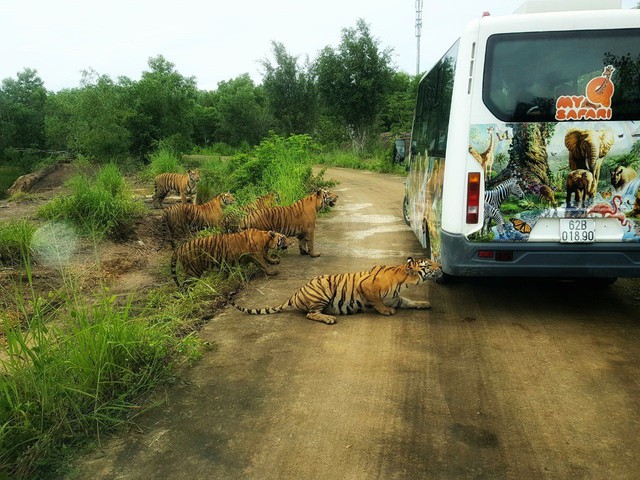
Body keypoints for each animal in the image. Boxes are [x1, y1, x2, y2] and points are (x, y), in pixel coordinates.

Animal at [228, 256, 442, 324]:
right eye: (428, 265)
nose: (440, 266)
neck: (403, 279)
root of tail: (296, 293)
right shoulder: (368, 287)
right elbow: (377, 301)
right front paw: (385, 311)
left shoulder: (397, 298)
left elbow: (410, 302)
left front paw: (424, 303)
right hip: (322, 291)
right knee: (310, 314)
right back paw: (329, 318)